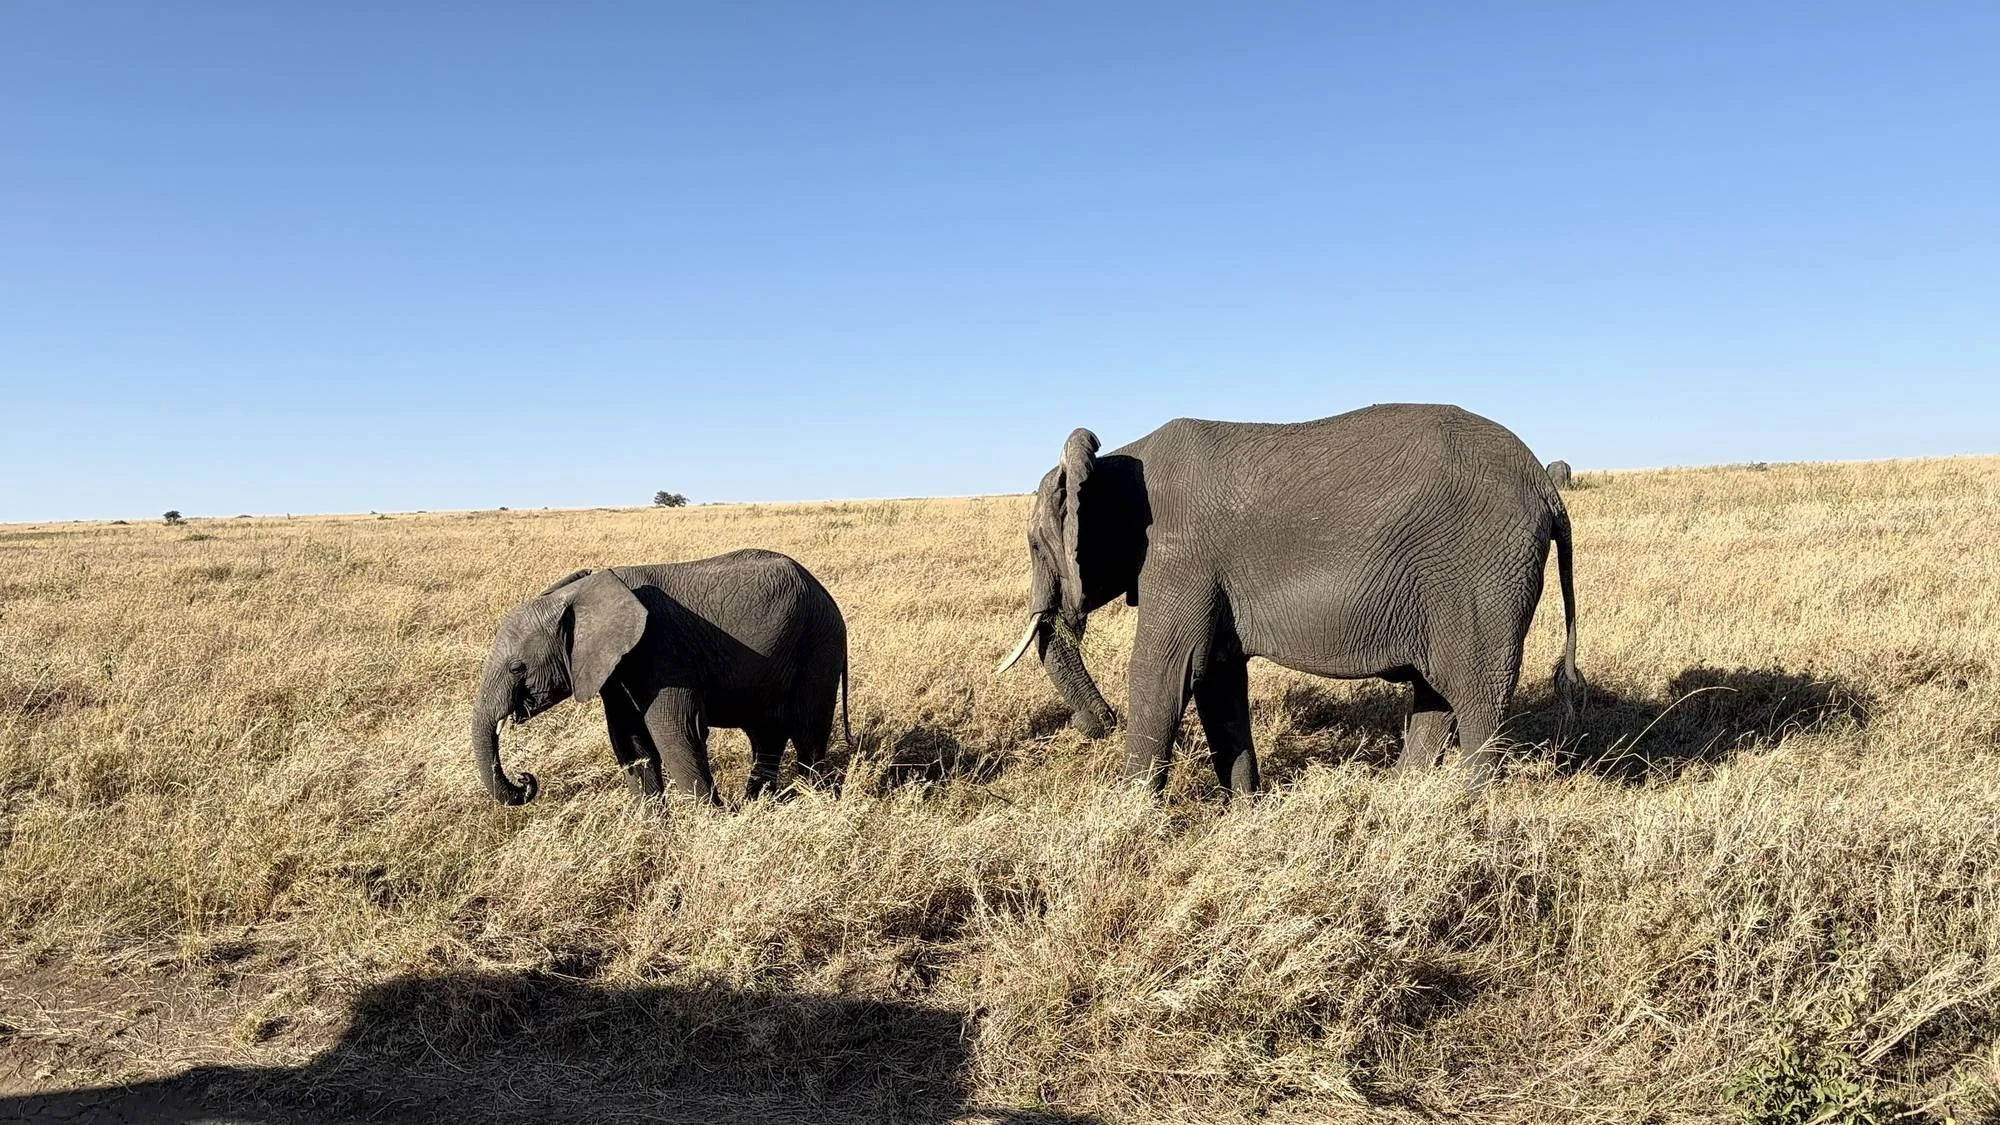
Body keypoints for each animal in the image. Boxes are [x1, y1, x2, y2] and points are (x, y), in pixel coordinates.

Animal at [470, 549, 849, 806]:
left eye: (517, 667)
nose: (526, 779)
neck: (581, 591)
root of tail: (826, 595)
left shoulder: (661, 651)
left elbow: (674, 732)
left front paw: (714, 823)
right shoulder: (616, 668)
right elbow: (630, 741)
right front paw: (653, 827)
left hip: (819, 645)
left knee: (808, 730)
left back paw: (814, 800)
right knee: (766, 731)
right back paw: (760, 803)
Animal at [996, 403, 1581, 793]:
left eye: (1034, 545)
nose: (1095, 723)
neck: (1117, 459)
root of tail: (1546, 489)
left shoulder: (1179, 557)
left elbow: (1163, 672)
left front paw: (1131, 820)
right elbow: (1217, 680)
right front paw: (1244, 809)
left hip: (1481, 576)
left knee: (1478, 700)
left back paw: (1462, 808)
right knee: (1436, 694)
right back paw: (1407, 799)